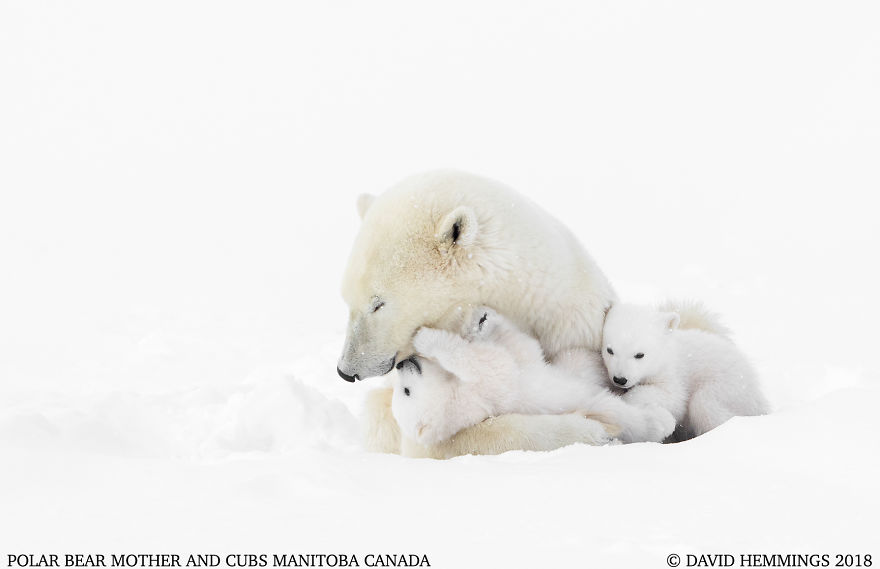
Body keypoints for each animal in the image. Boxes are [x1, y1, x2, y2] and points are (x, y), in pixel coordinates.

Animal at [391, 308, 675, 447]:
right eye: (406, 391)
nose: (403, 363)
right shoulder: (489, 390)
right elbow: (490, 362)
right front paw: (426, 338)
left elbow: (522, 349)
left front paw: (485, 320)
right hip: (606, 412)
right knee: (623, 414)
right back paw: (661, 421)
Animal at [601, 302, 771, 440]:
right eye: (610, 350)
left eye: (639, 354)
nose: (620, 379)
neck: (665, 355)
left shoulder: (673, 374)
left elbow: (674, 398)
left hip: (730, 387)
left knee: (704, 404)